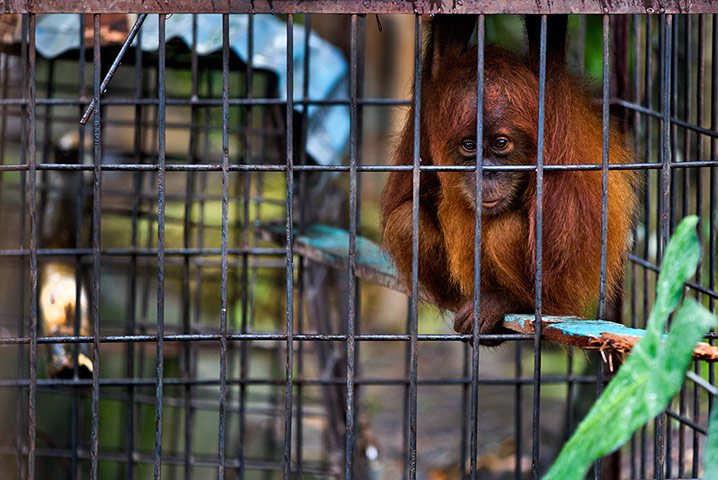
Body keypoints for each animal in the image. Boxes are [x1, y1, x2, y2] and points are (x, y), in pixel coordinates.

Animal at [380, 15, 637, 343]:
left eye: (501, 143)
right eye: (469, 145)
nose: (487, 171)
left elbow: (567, 236)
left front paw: (549, 37)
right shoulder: (433, 128)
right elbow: (406, 189)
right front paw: (445, 46)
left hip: (559, 297)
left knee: (508, 231)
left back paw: (510, 302)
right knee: (406, 220)